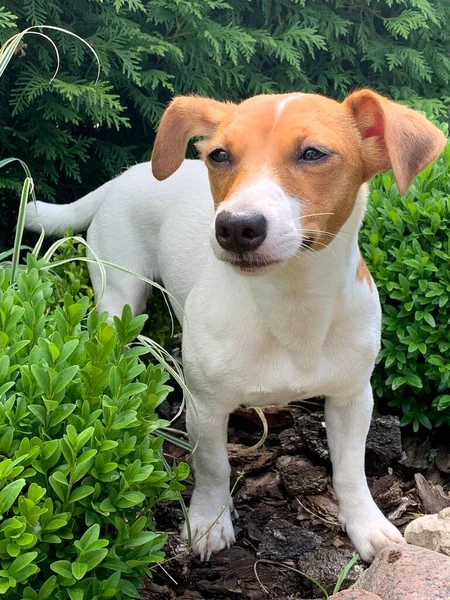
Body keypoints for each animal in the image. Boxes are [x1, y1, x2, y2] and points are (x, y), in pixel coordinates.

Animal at [26, 88, 448, 564]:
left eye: (313, 153)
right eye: (220, 155)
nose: (235, 226)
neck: (290, 303)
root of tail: (121, 178)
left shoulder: (352, 398)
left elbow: (350, 469)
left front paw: (366, 524)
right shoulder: (206, 407)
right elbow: (214, 468)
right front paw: (209, 522)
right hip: (120, 297)